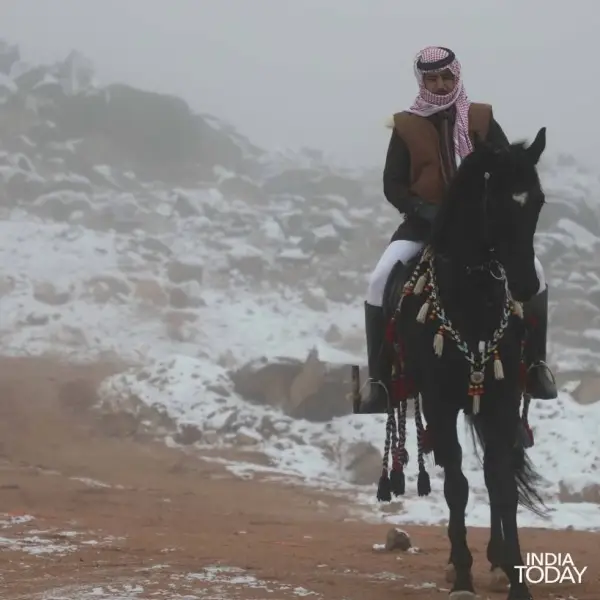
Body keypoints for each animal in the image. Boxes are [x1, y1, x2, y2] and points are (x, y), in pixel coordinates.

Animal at [378, 131, 552, 600]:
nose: (526, 284)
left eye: (538, 201)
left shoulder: (501, 399)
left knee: (496, 470)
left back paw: (498, 559)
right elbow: (457, 484)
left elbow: (502, 484)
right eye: (494, 203)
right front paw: (461, 574)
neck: (472, 300)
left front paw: (516, 578)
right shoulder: (440, 402)